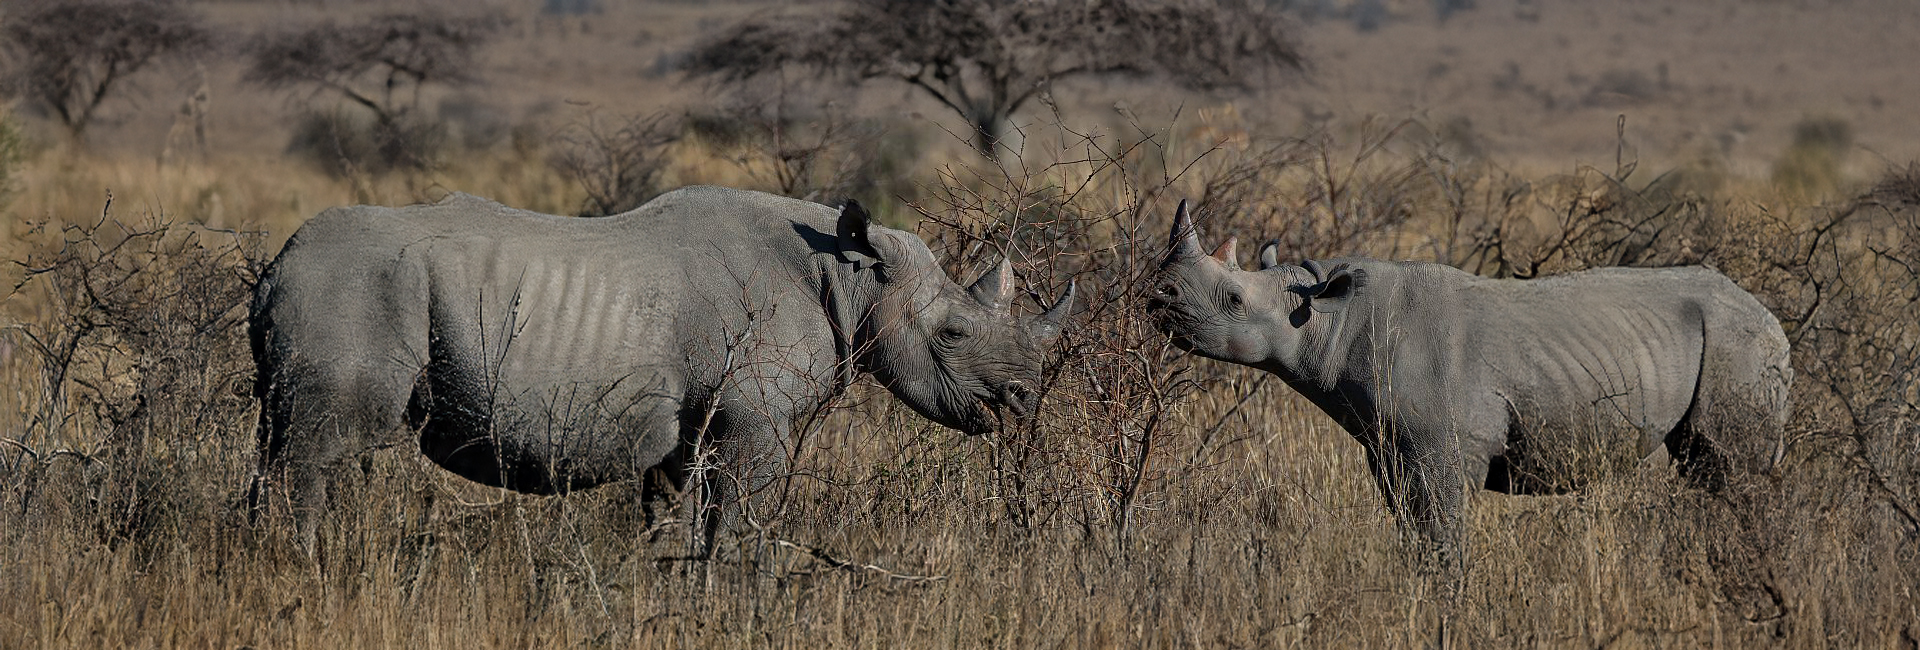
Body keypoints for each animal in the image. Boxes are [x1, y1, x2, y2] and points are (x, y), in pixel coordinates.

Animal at [248, 186, 1072, 552]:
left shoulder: (694, 428)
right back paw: (302, 568)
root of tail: (274, 268)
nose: (1025, 396)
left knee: (276, 441)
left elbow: (682, 514)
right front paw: (736, 599)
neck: (853, 277)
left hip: (319, 299)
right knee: (316, 452)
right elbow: (738, 519)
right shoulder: (756, 421)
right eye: (953, 334)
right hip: (350, 289)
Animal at [1145, 202, 1791, 554]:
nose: (1157, 298)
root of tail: (1772, 317)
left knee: (1734, 469)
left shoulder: (1443, 447)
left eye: (1232, 300)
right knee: (1709, 471)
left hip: (1740, 343)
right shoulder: (1390, 449)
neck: (1324, 316)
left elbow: (1443, 536)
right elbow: (1414, 533)